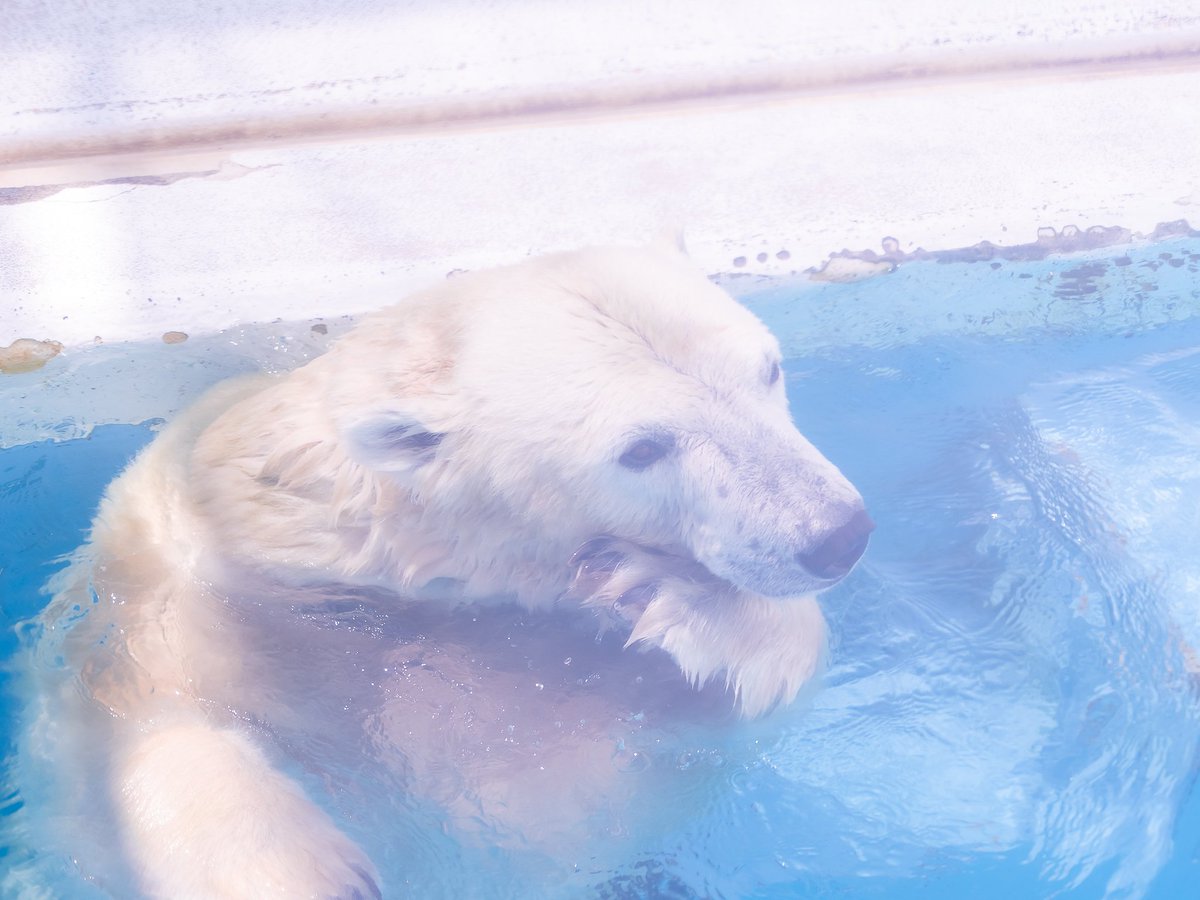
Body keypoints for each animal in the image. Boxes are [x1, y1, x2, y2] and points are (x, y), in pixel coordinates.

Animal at [32, 242, 872, 898]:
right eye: (641, 448)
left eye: (768, 370)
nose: (837, 536)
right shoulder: (168, 592)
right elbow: (137, 727)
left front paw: (677, 597)